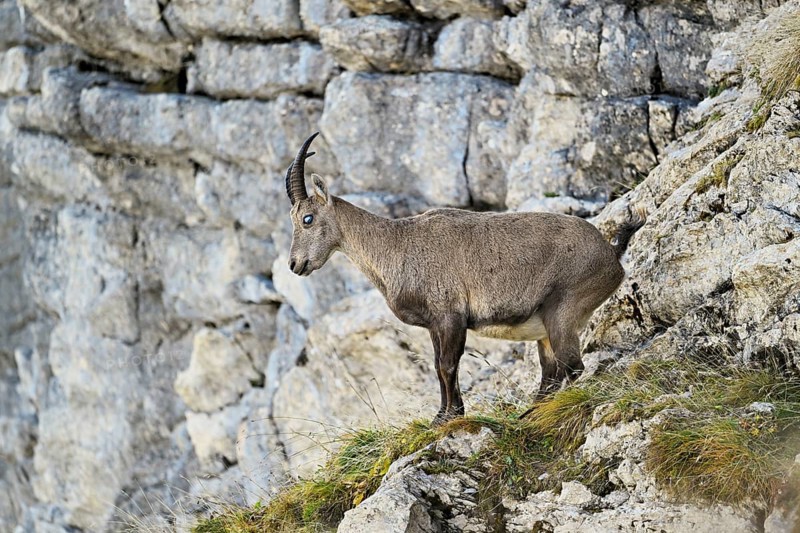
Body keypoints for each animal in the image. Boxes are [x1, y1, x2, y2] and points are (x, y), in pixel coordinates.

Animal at [285, 132, 644, 424]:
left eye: (307, 218)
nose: (294, 264)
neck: (396, 246)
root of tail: (612, 254)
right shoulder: (435, 325)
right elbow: (438, 367)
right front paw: (442, 416)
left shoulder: (451, 316)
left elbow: (447, 366)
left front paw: (450, 416)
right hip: (544, 328)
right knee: (551, 373)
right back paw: (529, 412)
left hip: (563, 310)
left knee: (573, 368)